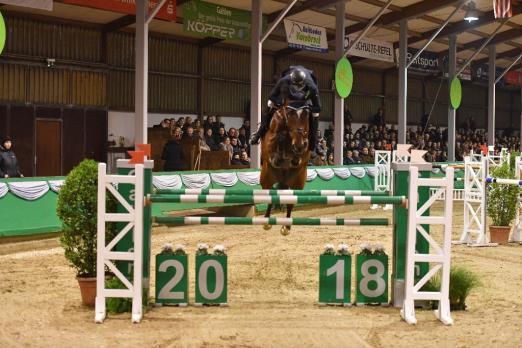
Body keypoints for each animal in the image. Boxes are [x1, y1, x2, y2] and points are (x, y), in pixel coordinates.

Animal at [258, 102, 308, 235]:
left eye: (306, 115)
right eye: (290, 114)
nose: (299, 145)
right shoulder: (270, 141)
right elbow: (277, 139)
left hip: (297, 183)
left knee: (290, 202)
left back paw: (286, 227)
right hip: (266, 178)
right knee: (270, 197)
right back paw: (266, 222)